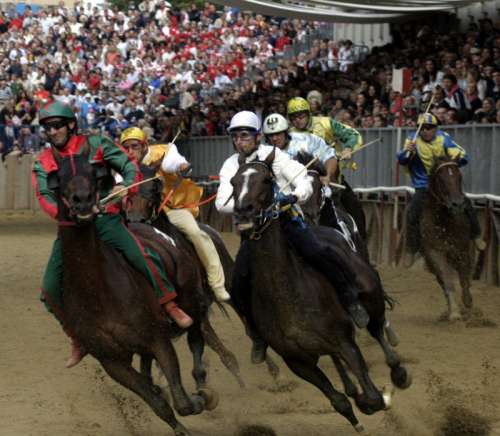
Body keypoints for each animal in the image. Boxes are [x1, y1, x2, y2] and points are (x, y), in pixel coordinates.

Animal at [52, 152, 229, 434]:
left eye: (155, 188)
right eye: (60, 180)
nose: (83, 201)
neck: (99, 292)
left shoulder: (158, 338)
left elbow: (182, 401)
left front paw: (201, 398)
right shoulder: (112, 362)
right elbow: (159, 403)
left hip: (192, 302)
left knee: (197, 336)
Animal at [230, 149, 410, 432]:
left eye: (267, 181)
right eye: (233, 182)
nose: (243, 212)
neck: (287, 296)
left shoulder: (344, 341)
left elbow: (372, 397)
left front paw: (381, 397)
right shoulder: (298, 362)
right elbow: (339, 401)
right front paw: (355, 412)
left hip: (371, 296)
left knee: (376, 327)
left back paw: (398, 372)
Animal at [420, 156, 474, 320]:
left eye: (459, 176)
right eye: (441, 178)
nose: (458, 204)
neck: (445, 222)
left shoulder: (462, 251)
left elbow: (464, 279)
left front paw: (468, 303)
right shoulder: (435, 253)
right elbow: (447, 280)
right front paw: (455, 313)